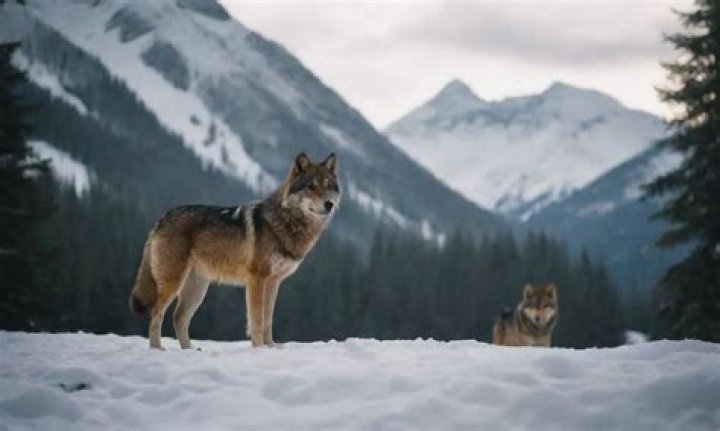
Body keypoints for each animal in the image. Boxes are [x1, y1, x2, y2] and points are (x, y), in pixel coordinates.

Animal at [128, 152, 340, 349]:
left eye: (328, 186)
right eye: (311, 187)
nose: (329, 204)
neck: (286, 222)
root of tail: (161, 218)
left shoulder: (273, 283)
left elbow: (268, 320)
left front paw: (271, 348)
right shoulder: (257, 279)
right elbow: (257, 320)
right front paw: (259, 349)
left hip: (197, 289)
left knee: (178, 317)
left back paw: (189, 350)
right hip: (174, 283)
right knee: (156, 313)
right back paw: (157, 349)